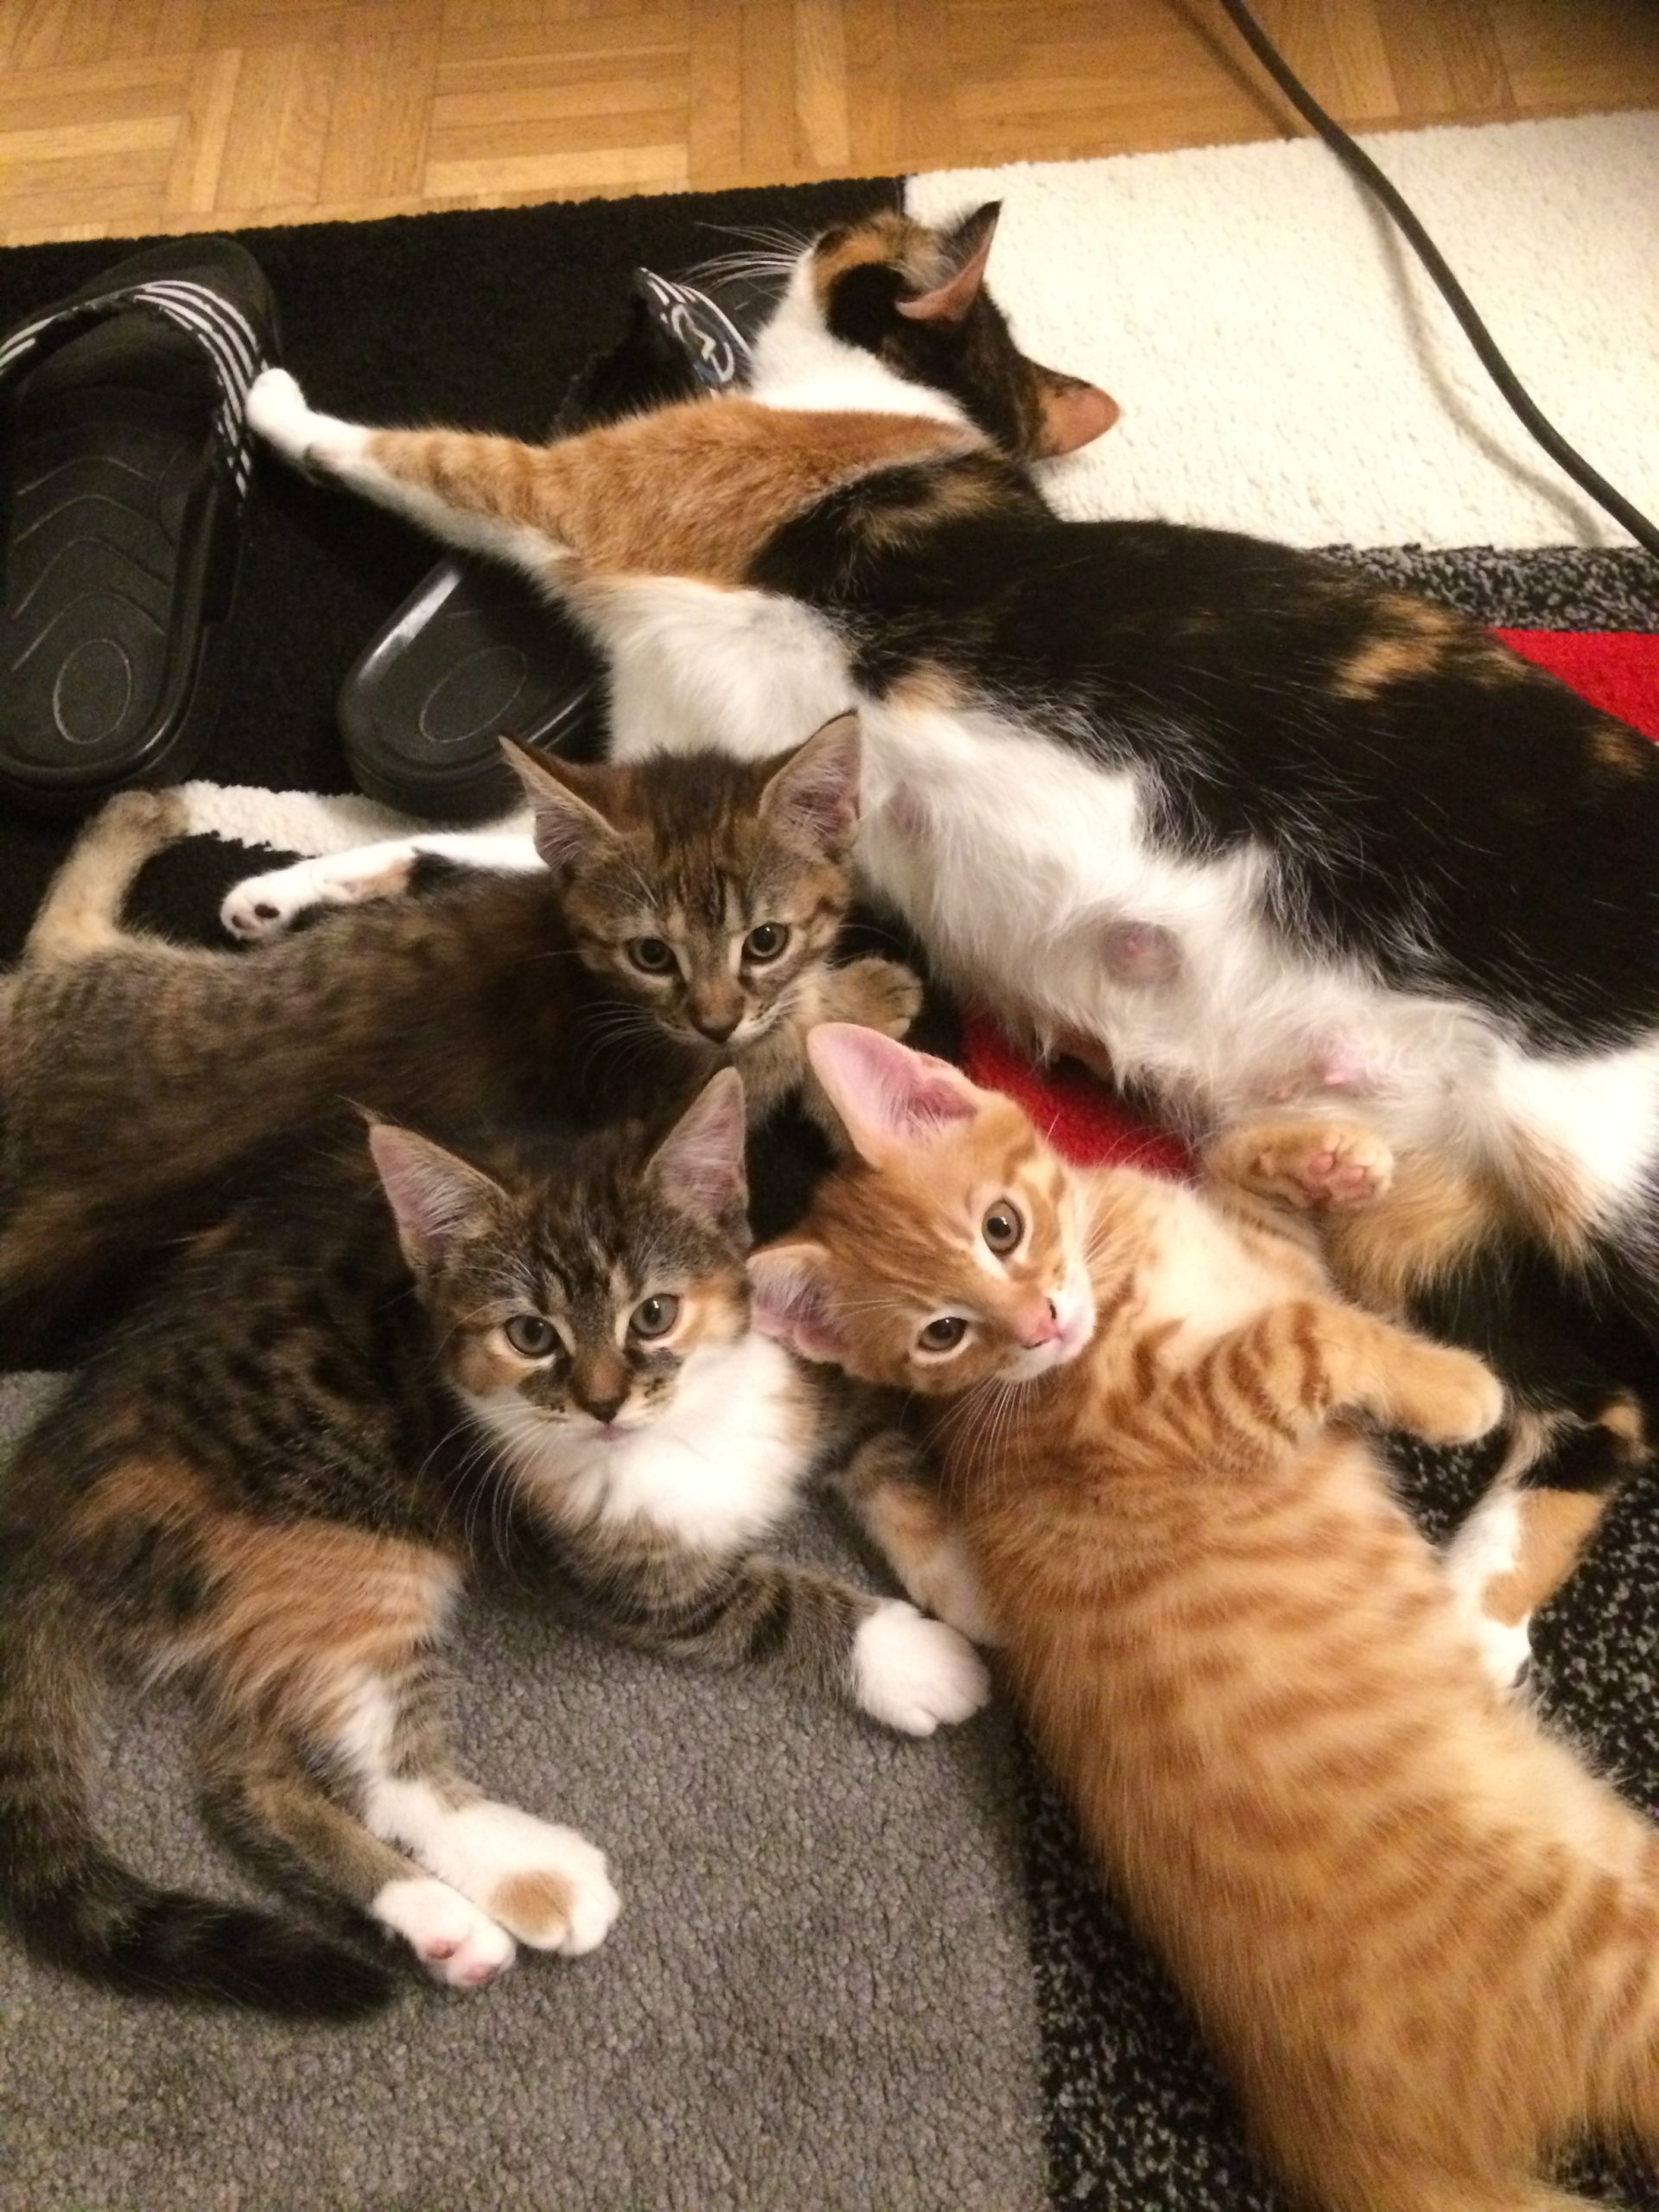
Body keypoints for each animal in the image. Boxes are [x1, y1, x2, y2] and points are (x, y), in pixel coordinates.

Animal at [0, 714, 920, 1356]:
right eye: (652, 953)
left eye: (763, 939)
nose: (715, 1016)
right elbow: (796, 1034)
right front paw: (866, 992)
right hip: (116, 983)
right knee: (58, 930)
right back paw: (139, 810)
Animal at [0, 1063, 988, 2019]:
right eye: (529, 1333)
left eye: (654, 1314)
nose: (602, 1403)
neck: (686, 1428)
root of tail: (50, 1497)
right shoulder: (612, 1570)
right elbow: (753, 1598)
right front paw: (910, 1655)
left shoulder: (817, 1373)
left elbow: (893, 1463)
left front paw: (976, 1581)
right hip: (348, 1541)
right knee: (375, 1759)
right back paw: (529, 1876)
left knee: (243, 1777)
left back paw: (434, 1922)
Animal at [236, 199, 1659, 1685]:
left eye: (883, 229)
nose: (825, 216)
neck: (910, 411)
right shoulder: (667, 805)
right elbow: (492, 853)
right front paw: (299, 883)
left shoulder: (596, 494)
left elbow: (429, 458)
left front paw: (273, 403)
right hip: (1420, 1211)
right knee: (1598, 1406)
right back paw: (1476, 1604)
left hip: (1600, 1171)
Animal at [748, 1023, 1659, 2212]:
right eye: (943, 1334)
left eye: (1002, 1227)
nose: (1040, 1323)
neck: (1116, 1265)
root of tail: (1335, 2139)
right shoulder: (1184, 1410)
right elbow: (1310, 1334)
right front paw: (1456, 1386)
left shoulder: (1256, 1263)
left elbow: (1259, 1215)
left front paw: (1325, 1158)